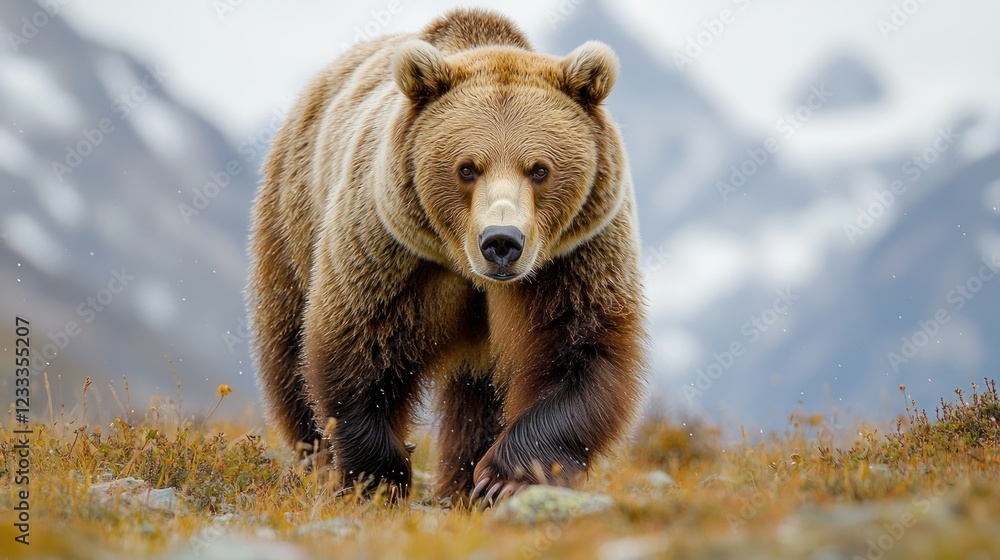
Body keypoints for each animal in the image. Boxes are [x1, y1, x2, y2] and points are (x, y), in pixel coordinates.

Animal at [248, 8, 647, 505]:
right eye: (467, 168)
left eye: (539, 169)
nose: (501, 240)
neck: (466, 269)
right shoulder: (392, 252)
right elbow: (357, 349)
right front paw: (378, 477)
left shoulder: (573, 257)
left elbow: (580, 351)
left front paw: (505, 478)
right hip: (293, 216)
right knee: (287, 351)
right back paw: (315, 461)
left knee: (478, 396)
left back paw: (459, 484)